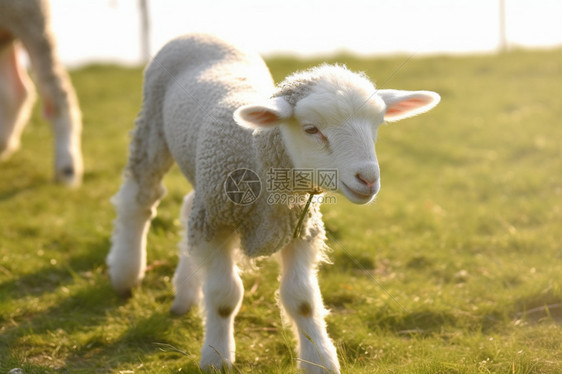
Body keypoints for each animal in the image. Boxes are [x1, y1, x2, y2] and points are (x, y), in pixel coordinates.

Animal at [105, 33, 438, 372]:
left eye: (377, 126)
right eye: (311, 129)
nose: (368, 179)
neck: (255, 149)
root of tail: (202, 33)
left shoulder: (300, 230)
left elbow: (302, 299)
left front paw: (320, 359)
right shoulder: (217, 223)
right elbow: (224, 296)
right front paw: (216, 356)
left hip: (202, 183)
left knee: (187, 208)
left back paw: (185, 294)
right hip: (152, 128)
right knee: (139, 198)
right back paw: (125, 273)